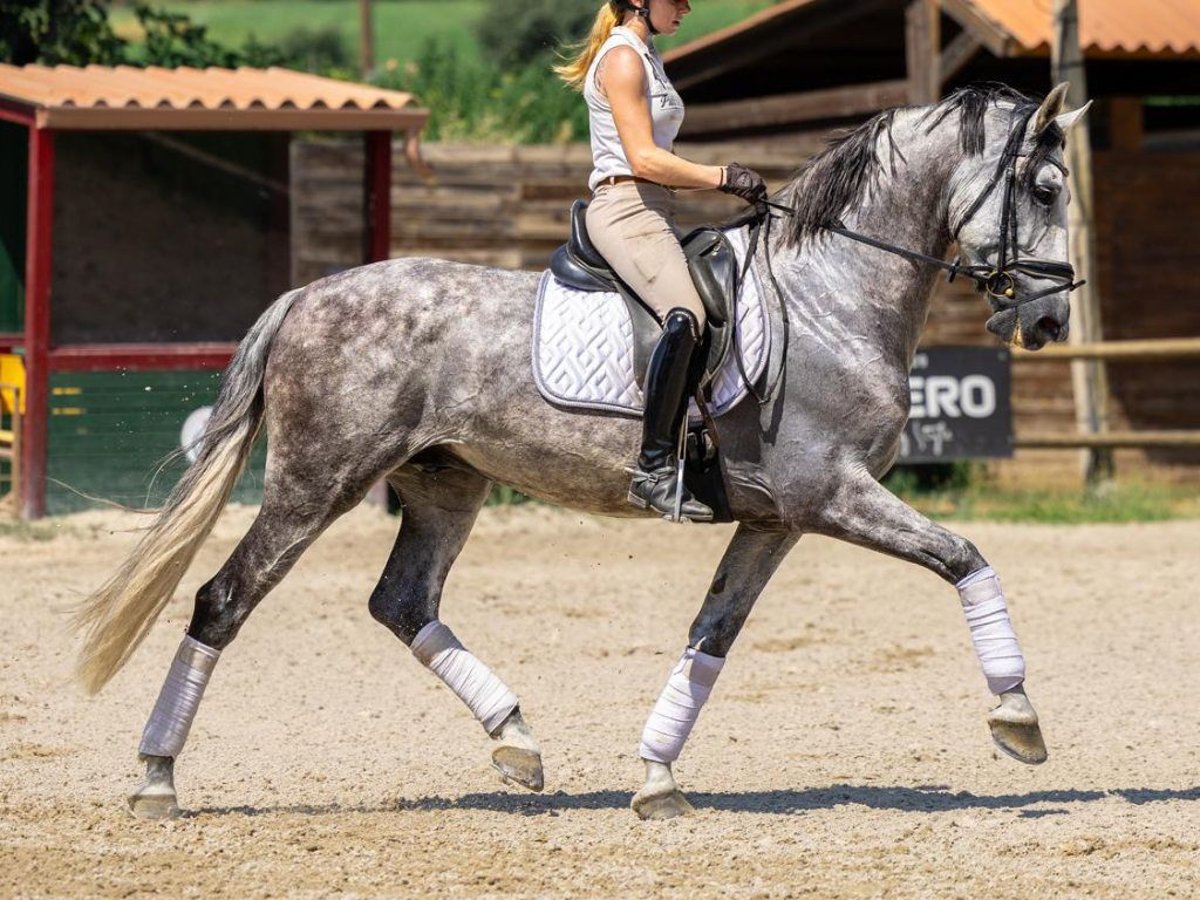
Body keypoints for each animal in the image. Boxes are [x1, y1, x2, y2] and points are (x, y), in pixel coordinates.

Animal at [75, 84, 1089, 825]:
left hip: (445, 484)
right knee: (223, 600)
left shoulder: (777, 518)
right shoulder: (831, 494)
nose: (1048, 321)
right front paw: (1019, 718)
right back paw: (157, 777)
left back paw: (517, 742)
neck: (832, 295)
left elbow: (711, 637)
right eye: (1044, 190)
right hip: (318, 480)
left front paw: (656, 778)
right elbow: (967, 558)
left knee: (403, 603)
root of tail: (306, 296)